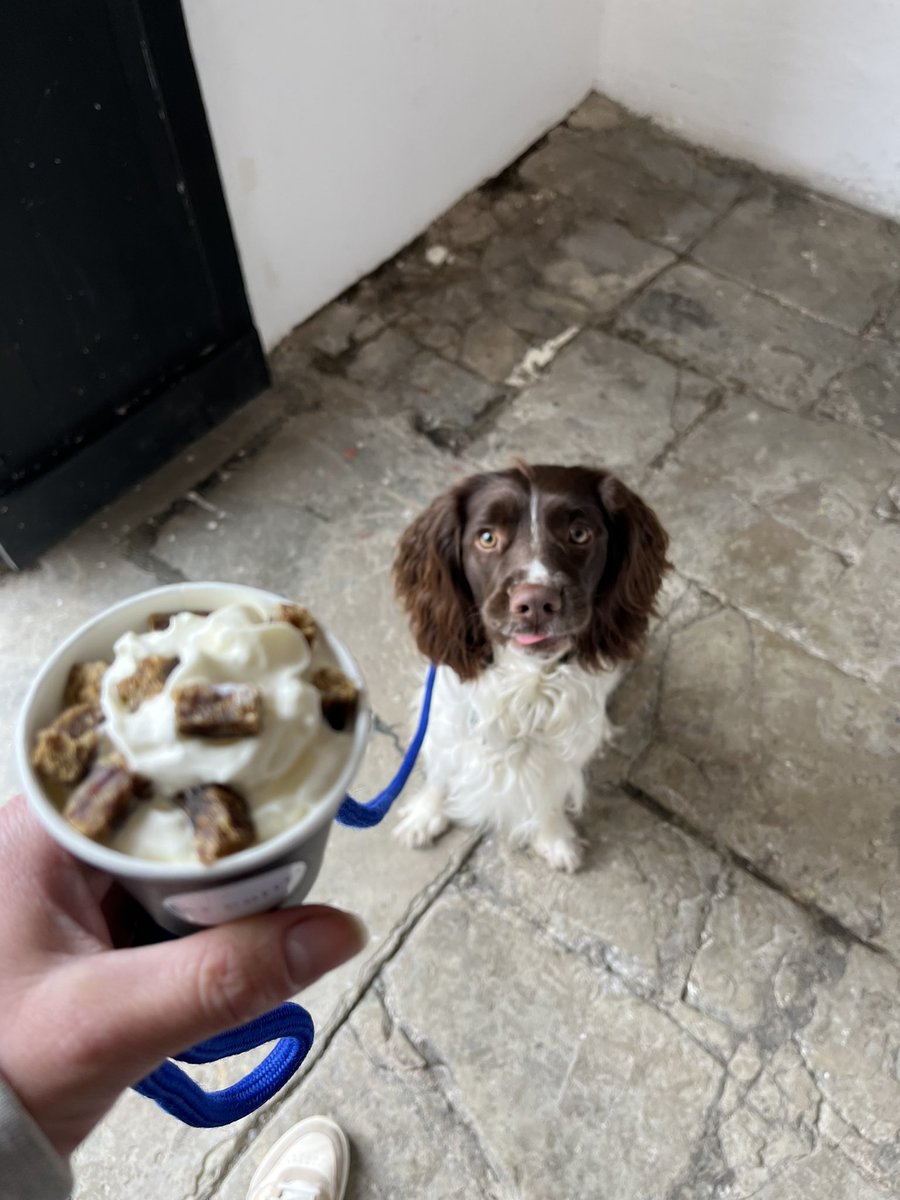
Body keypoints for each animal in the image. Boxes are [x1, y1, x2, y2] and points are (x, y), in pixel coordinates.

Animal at [393, 460, 672, 873]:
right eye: (487, 537)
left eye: (579, 533)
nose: (537, 602)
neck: (524, 681)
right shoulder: (445, 712)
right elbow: (441, 768)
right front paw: (426, 814)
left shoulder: (562, 744)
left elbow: (550, 789)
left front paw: (554, 839)